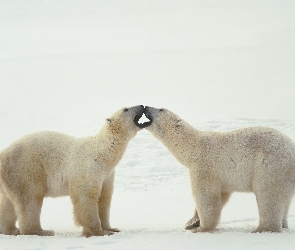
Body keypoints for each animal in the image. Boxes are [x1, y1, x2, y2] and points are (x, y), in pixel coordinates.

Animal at [0, 105, 147, 236]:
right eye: (126, 109)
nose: (142, 105)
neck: (103, 153)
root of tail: (3, 155)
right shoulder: (89, 167)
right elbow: (86, 196)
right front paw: (98, 232)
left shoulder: (107, 175)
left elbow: (104, 198)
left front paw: (111, 228)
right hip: (26, 169)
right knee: (29, 199)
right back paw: (41, 231)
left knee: (8, 203)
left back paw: (11, 230)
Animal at [144, 106, 295, 233]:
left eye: (161, 109)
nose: (145, 107)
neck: (193, 147)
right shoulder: (222, 178)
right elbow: (222, 195)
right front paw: (191, 222)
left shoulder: (204, 167)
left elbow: (206, 197)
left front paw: (201, 228)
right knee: (285, 200)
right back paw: (283, 225)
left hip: (269, 166)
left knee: (268, 195)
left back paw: (262, 229)